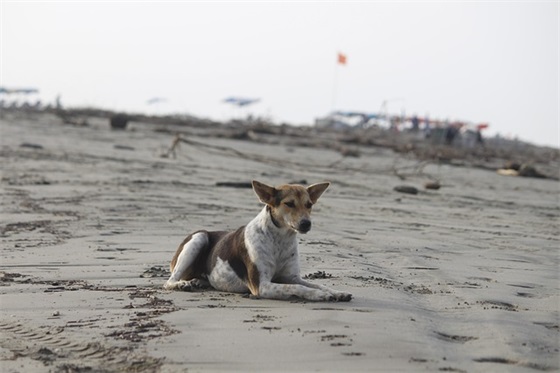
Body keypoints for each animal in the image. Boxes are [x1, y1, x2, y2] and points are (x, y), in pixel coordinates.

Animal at [164, 180, 352, 302]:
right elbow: (298, 288)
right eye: (289, 204)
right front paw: (320, 296)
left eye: (309, 204)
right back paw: (183, 284)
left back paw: (197, 282)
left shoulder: (291, 277)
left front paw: (336, 292)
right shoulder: (262, 286)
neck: (281, 239)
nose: (306, 224)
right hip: (198, 238)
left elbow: (318, 285)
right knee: (169, 281)